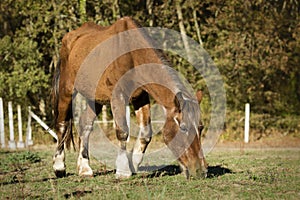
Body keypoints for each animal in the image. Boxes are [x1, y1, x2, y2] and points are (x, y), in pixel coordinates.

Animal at [51, 17, 207, 179]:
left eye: (201, 127)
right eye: (183, 127)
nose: (201, 170)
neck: (132, 53)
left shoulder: (140, 97)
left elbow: (146, 133)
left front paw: (133, 164)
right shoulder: (118, 96)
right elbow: (122, 132)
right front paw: (122, 170)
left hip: (94, 98)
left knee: (85, 125)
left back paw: (84, 168)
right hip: (66, 90)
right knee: (62, 125)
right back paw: (59, 167)